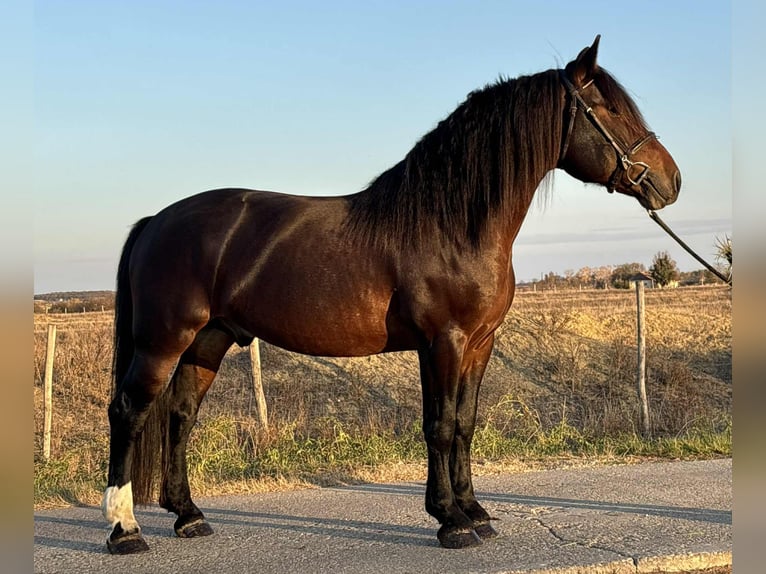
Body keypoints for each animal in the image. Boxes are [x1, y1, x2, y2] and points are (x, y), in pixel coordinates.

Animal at [101, 35, 681, 554]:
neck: (451, 224)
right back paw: (125, 530)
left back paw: (188, 516)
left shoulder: (479, 344)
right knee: (128, 411)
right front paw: (450, 521)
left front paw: (475, 511)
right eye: (609, 109)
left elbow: (465, 424)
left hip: (208, 341)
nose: (671, 180)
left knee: (180, 415)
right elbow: (439, 426)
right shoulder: (443, 342)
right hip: (162, 341)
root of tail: (157, 221)